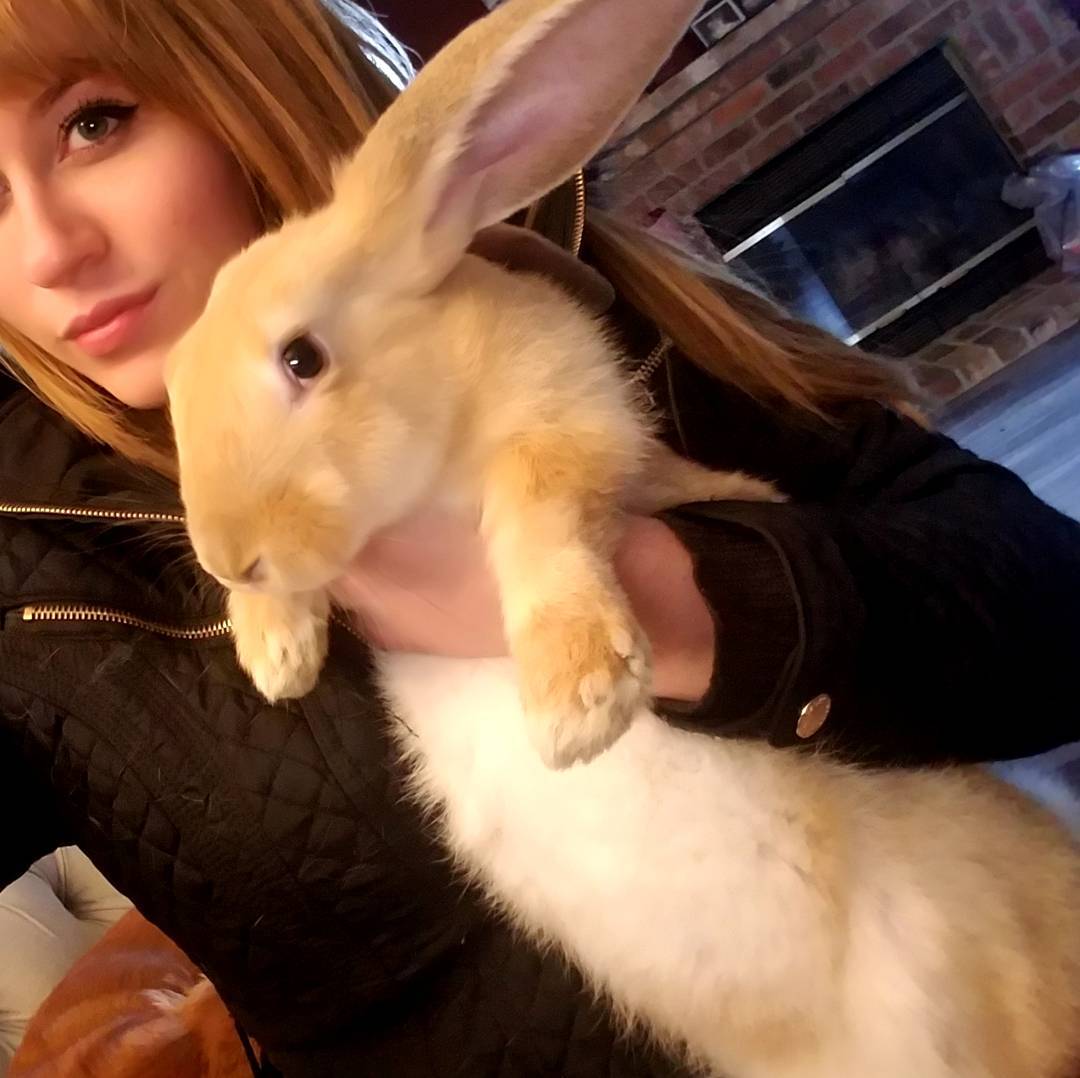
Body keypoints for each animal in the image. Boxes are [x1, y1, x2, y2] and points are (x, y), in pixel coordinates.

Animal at [165, 0, 780, 770]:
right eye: (173, 384)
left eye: (302, 358)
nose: (229, 562)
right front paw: (275, 652)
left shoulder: (578, 428)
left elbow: (539, 510)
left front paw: (576, 699)